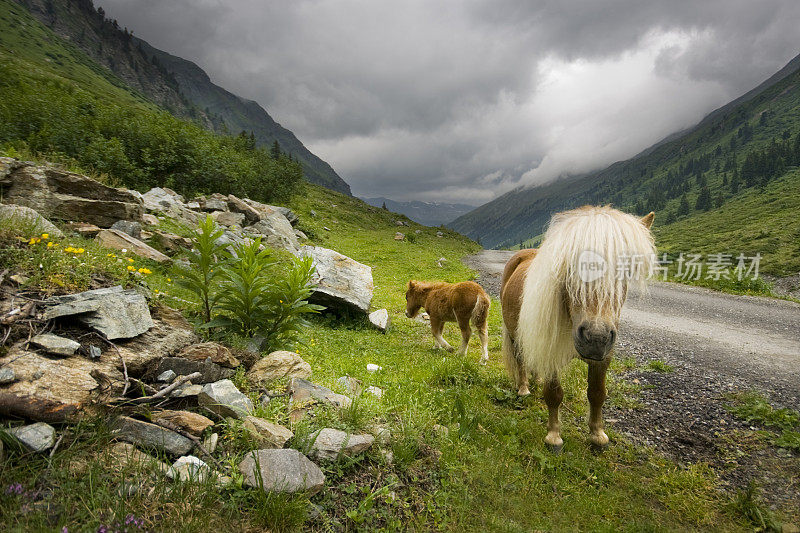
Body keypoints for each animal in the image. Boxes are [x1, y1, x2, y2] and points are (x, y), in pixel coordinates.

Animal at [500, 207, 656, 448]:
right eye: (571, 268)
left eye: (625, 269)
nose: (596, 337)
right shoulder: (552, 349)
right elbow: (554, 394)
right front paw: (554, 436)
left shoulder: (603, 357)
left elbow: (597, 393)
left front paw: (597, 434)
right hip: (516, 336)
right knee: (521, 359)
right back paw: (524, 387)